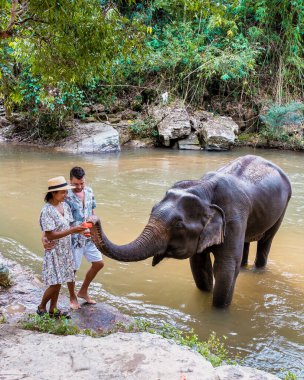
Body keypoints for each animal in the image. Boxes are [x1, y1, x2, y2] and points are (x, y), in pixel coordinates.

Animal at [89, 156, 292, 308]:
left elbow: (225, 268)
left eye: (178, 224)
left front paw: (217, 313)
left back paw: (258, 270)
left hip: (282, 210)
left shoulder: (233, 218)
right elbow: (199, 265)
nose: (93, 220)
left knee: (266, 241)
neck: (204, 187)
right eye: (151, 210)